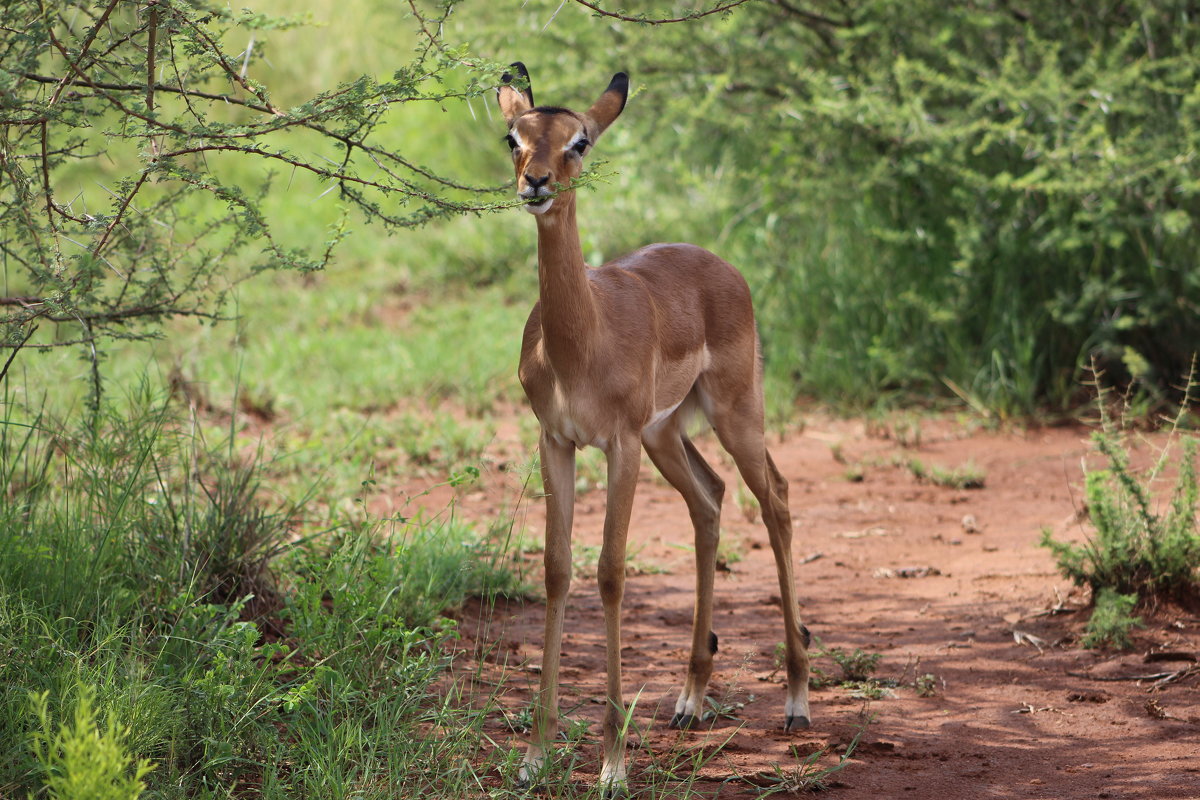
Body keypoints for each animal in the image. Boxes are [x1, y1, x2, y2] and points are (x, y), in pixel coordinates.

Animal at [492, 64, 811, 796]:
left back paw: (797, 700)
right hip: (668, 436)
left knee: (776, 499)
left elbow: (610, 573)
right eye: (513, 136)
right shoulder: (556, 442)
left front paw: (612, 765)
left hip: (733, 414)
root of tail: (721, 264)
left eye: (579, 140)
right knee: (711, 499)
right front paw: (534, 756)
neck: (583, 338)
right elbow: (556, 569)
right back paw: (689, 700)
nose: (536, 183)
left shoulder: (618, 446)